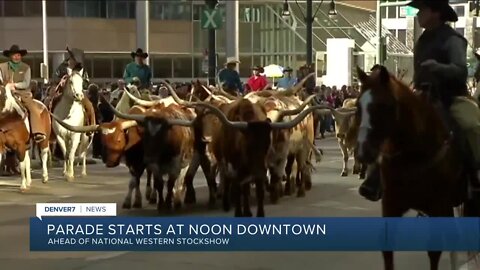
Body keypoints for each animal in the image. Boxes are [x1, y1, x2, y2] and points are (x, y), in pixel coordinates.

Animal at [352, 65, 476, 270]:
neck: (413, 154)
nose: (363, 152)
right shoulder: (391, 205)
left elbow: (434, 251)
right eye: (357, 106)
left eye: (383, 106)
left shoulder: (438, 207)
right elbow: (387, 250)